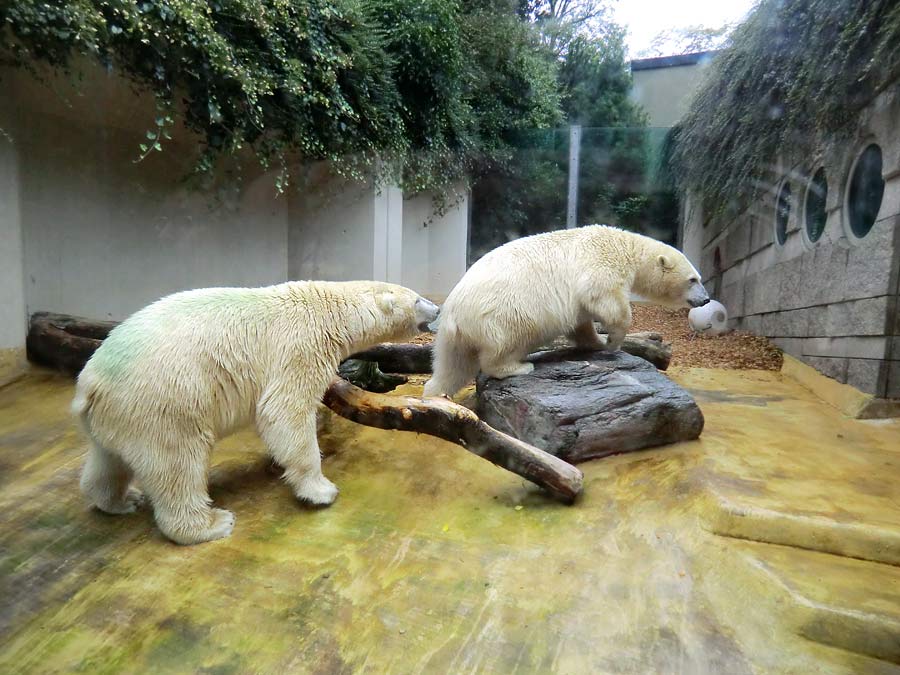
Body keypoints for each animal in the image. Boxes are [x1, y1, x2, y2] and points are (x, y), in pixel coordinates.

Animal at [74, 282, 440, 548]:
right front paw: (321, 490)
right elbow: (284, 411)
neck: (327, 308)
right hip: (164, 402)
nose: (438, 308)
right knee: (177, 464)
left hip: (120, 414)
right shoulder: (300, 346)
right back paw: (211, 523)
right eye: (418, 298)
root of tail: (90, 384)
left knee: (108, 460)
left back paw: (121, 500)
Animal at [424, 224, 712, 398]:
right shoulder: (601, 264)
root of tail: (453, 315)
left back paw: (435, 391)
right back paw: (519, 366)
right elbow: (605, 299)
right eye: (693, 279)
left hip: (454, 338)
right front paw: (614, 342)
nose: (707, 299)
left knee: (452, 365)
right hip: (505, 313)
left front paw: (596, 343)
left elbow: (581, 322)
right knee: (505, 345)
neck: (626, 247)